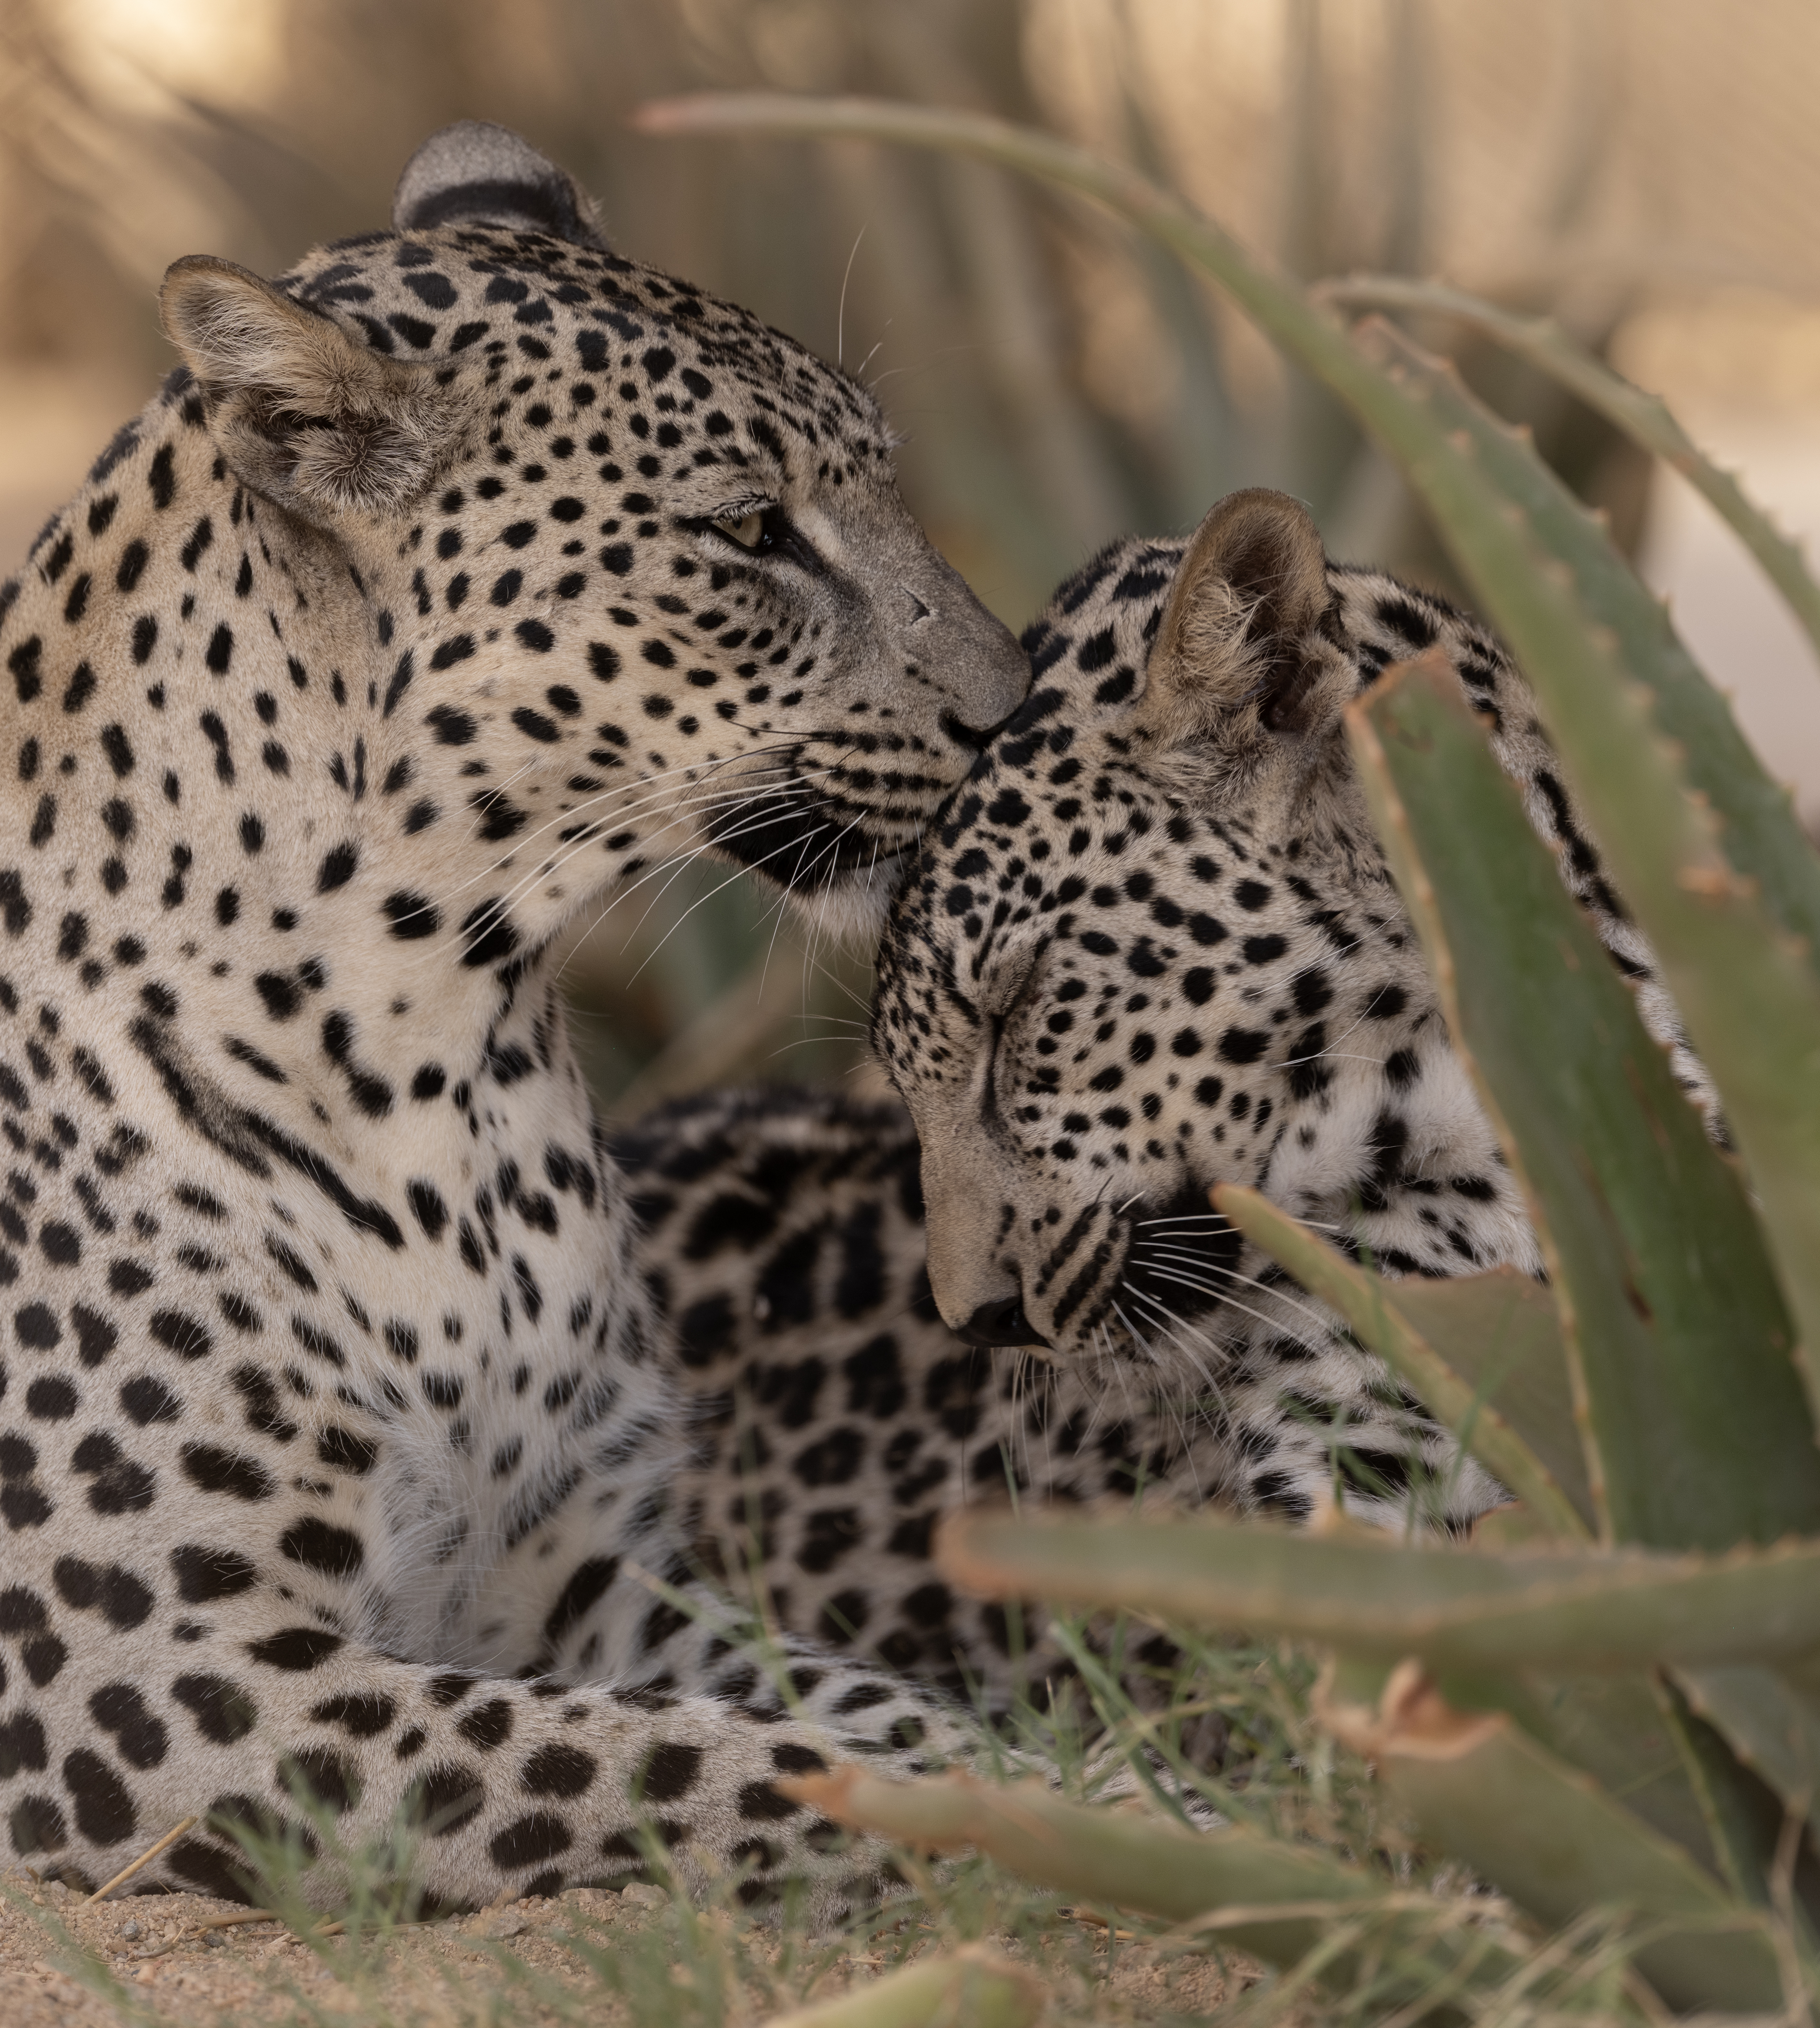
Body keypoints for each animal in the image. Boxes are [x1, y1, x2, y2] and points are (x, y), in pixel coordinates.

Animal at [0, 118, 1033, 1922]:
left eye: (886, 483)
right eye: (751, 532)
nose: (1013, 708)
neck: (444, 1061)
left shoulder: (587, 1576)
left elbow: (849, 1700)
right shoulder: (152, 1679)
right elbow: (692, 1765)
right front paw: (1047, 1827)